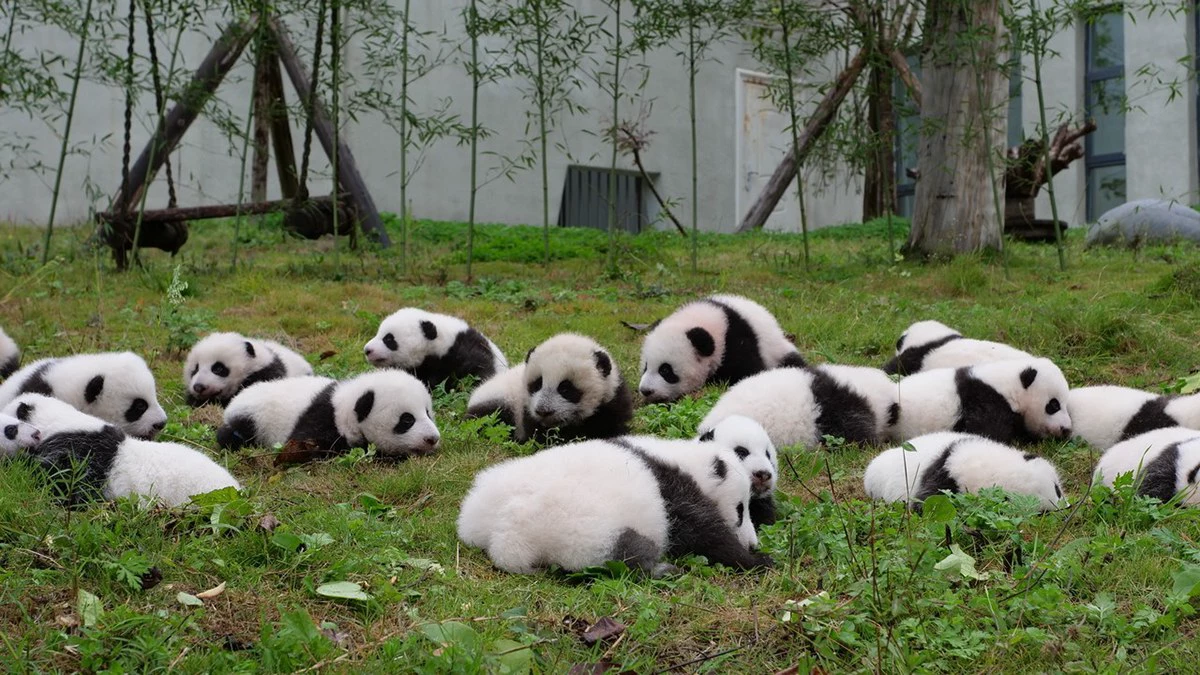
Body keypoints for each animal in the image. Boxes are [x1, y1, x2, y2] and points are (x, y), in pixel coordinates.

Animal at [216, 370, 440, 458]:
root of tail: (233, 404)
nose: (432, 439)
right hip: (253, 419)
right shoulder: (320, 419)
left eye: (428, 413)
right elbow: (307, 445)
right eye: (407, 419)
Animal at [457, 435, 770, 576]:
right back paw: (660, 568)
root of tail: (502, 537)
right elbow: (706, 534)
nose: (752, 543)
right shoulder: (674, 494)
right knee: (625, 550)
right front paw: (755, 560)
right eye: (740, 510)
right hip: (577, 527)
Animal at [638, 294, 806, 403]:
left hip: (776, 351)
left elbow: (748, 372)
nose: (646, 390)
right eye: (645, 367)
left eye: (665, 370)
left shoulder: (737, 341)